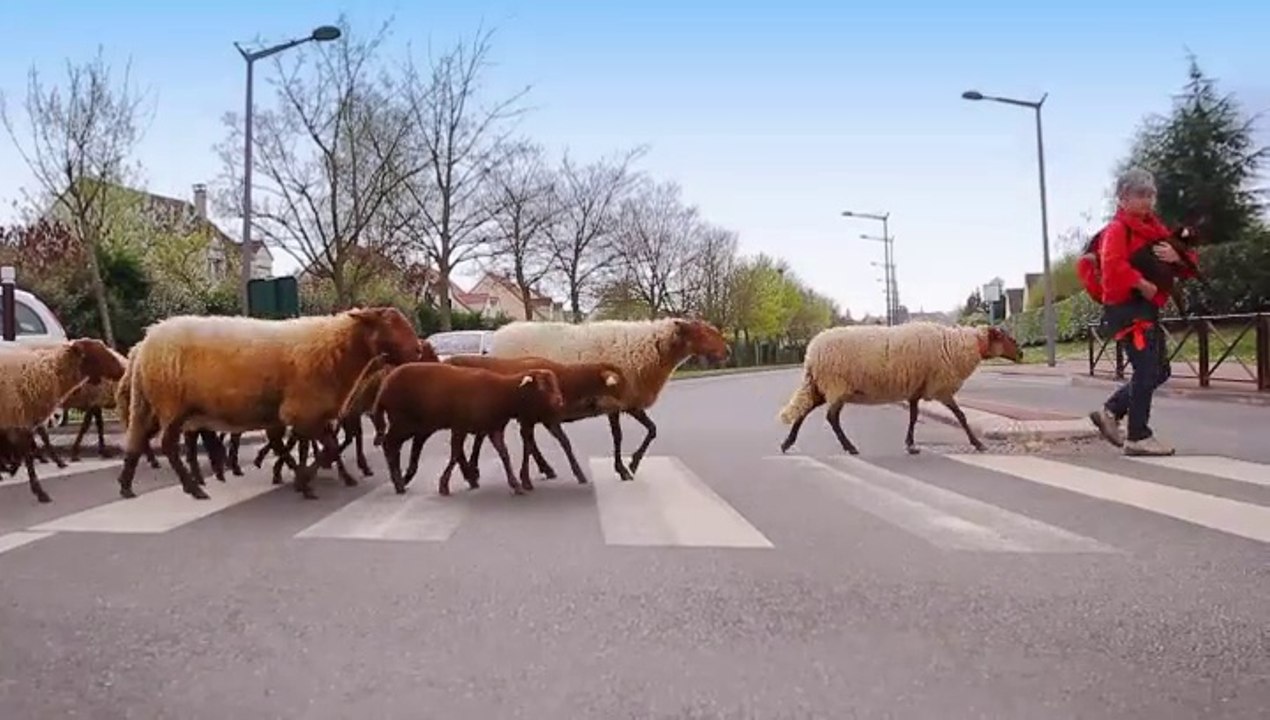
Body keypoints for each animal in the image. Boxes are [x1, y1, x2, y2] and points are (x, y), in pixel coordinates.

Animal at [116, 306, 422, 501]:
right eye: (390, 326)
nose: (419, 351)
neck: (337, 350)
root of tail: (144, 343)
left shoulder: (308, 415)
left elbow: (320, 447)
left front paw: (303, 478)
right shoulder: (302, 411)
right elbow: (327, 447)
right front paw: (304, 482)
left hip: (150, 403)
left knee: (137, 439)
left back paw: (126, 486)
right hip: (170, 404)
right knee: (168, 445)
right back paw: (194, 488)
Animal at [370, 362, 565, 496]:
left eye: (556, 384)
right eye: (542, 387)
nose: (559, 401)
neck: (503, 394)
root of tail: (384, 386)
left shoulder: (493, 428)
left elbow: (504, 454)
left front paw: (515, 484)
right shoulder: (460, 426)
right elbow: (455, 453)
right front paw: (444, 485)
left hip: (415, 424)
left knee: (398, 446)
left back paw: (401, 480)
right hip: (403, 421)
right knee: (389, 444)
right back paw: (398, 483)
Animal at [436, 355, 627, 490]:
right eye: (617, 386)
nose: (625, 406)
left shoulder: (547, 418)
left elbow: (563, 442)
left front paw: (578, 473)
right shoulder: (530, 418)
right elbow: (529, 445)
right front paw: (526, 479)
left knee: (466, 442)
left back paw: (470, 474)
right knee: (462, 443)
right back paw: (469, 474)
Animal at [486, 317, 730, 481]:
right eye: (702, 333)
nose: (728, 351)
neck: (650, 350)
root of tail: (497, 337)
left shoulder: (629, 401)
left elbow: (652, 430)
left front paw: (631, 464)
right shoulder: (615, 402)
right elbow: (619, 437)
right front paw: (626, 468)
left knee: (529, 436)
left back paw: (546, 469)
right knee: (528, 436)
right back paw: (546, 469)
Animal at [776, 322, 1023, 456]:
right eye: (1004, 336)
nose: (1021, 354)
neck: (958, 346)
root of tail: (811, 353)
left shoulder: (916, 389)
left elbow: (913, 416)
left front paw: (911, 445)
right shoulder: (940, 388)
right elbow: (960, 415)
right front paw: (978, 444)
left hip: (822, 386)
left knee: (804, 409)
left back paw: (787, 443)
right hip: (836, 385)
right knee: (831, 417)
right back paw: (850, 447)